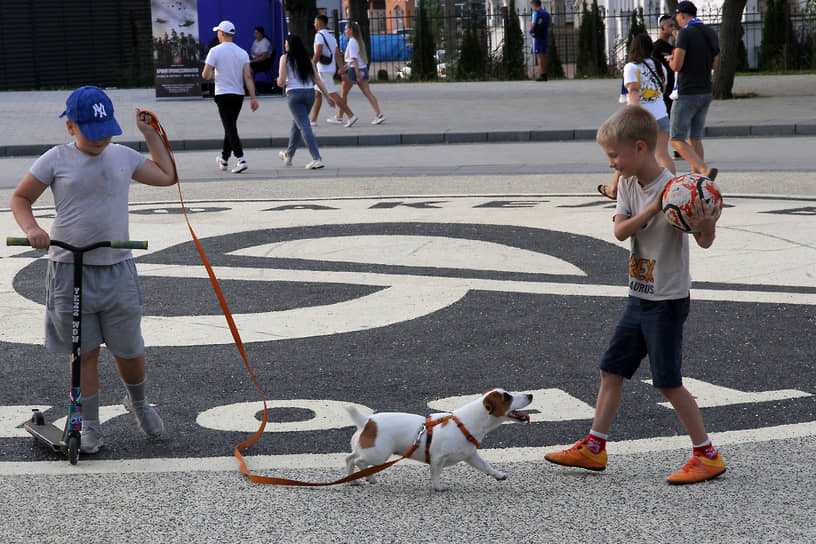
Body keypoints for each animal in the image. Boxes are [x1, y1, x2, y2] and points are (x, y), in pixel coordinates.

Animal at [342, 388, 532, 490]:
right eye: (507, 397)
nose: (530, 395)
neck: (466, 422)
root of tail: (367, 421)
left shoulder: (470, 456)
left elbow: (486, 466)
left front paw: (498, 475)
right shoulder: (438, 459)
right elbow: (436, 474)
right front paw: (439, 487)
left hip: (369, 451)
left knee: (350, 458)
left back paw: (355, 479)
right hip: (378, 455)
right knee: (358, 461)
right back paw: (368, 477)